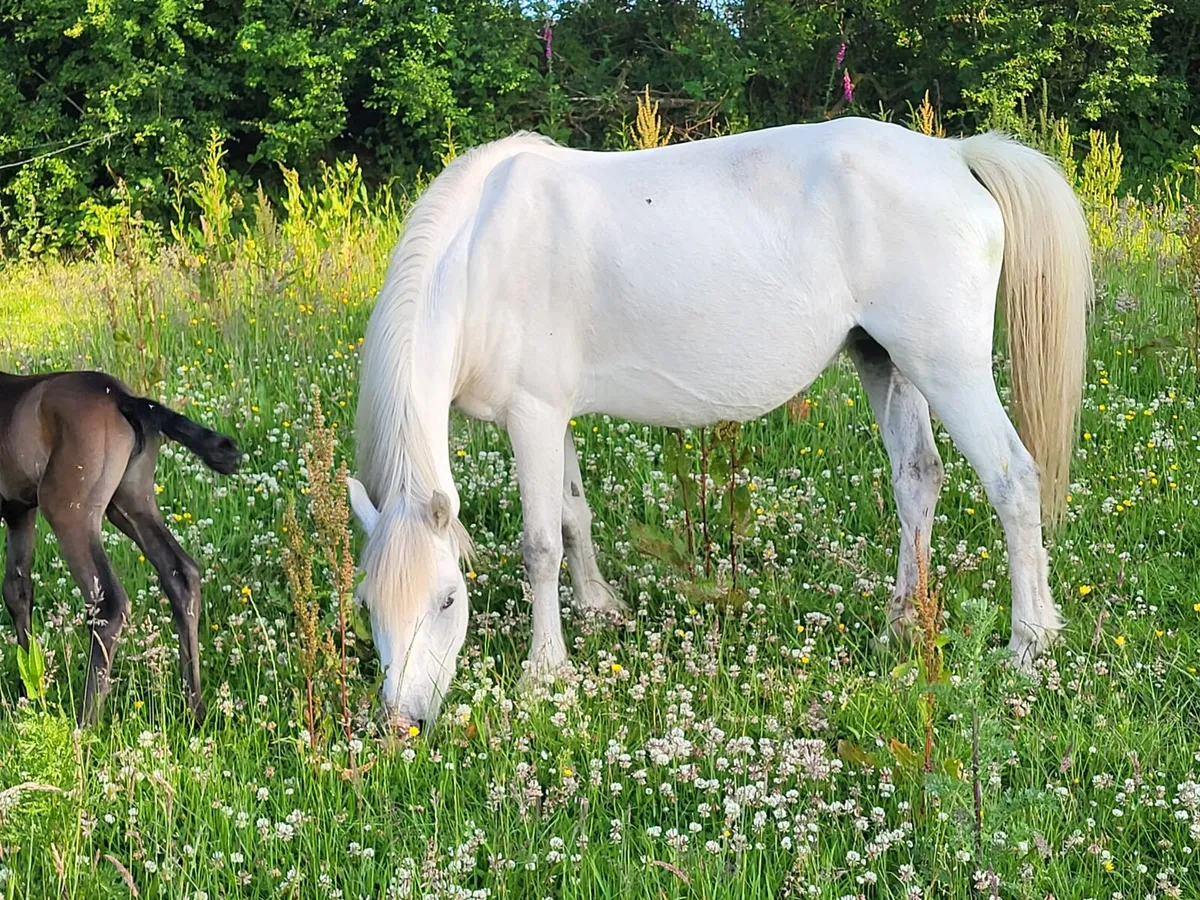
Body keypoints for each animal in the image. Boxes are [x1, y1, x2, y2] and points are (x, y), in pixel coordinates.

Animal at [0, 371, 241, 724]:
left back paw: (85, 724)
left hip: (68, 510)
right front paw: (29, 687)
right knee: (181, 573)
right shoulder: (19, 511)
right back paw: (195, 710)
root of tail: (122, 397)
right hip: (132, 501)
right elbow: (17, 590)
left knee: (109, 603)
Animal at [346, 116, 1091, 733]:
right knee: (918, 479)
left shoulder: (531, 416)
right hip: (886, 359)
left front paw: (544, 671)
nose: (402, 722)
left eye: (448, 600)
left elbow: (539, 545)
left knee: (1012, 479)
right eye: (366, 606)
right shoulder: (555, 415)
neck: (478, 256)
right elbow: (573, 515)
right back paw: (899, 623)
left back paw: (1029, 645)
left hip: (947, 367)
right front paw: (599, 606)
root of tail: (953, 155)